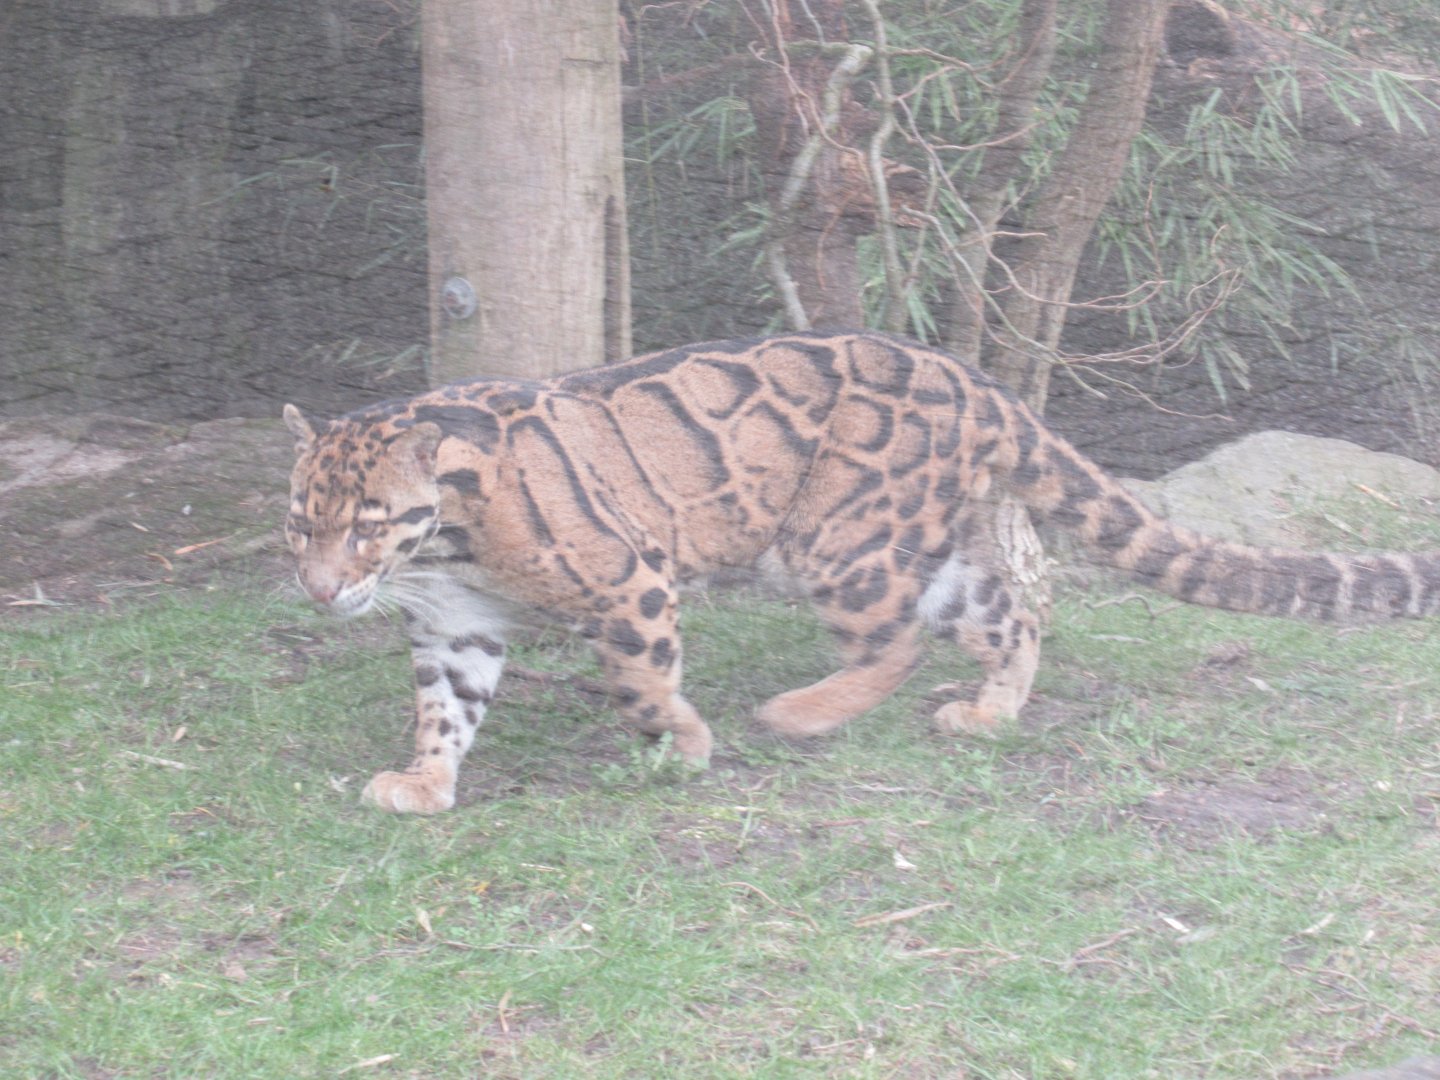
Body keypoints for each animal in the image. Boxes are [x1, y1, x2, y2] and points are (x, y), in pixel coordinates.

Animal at [283, 330, 1440, 813]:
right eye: (301, 524)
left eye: (370, 524)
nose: (321, 592)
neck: (443, 546)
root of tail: (978, 382)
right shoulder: (454, 627)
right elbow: (446, 711)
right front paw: (426, 780)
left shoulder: (629, 580)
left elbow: (641, 682)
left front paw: (684, 743)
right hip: (922, 557)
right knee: (1010, 617)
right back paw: (988, 714)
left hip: (836, 540)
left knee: (893, 642)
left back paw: (799, 713)